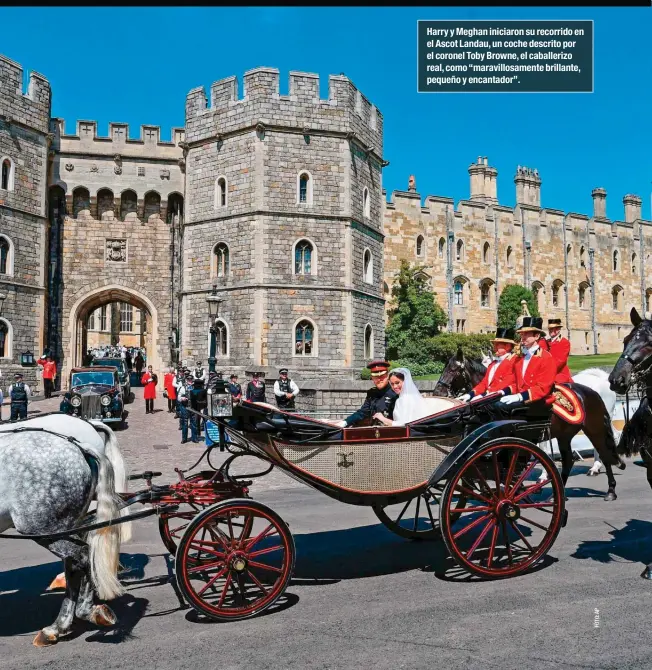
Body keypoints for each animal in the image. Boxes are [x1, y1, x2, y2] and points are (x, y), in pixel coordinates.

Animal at [436, 350, 624, 502]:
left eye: (452, 370)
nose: (438, 391)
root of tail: (593, 388)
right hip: (566, 434)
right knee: (570, 460)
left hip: (595, 426)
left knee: (605, 450)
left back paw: (608, 486)